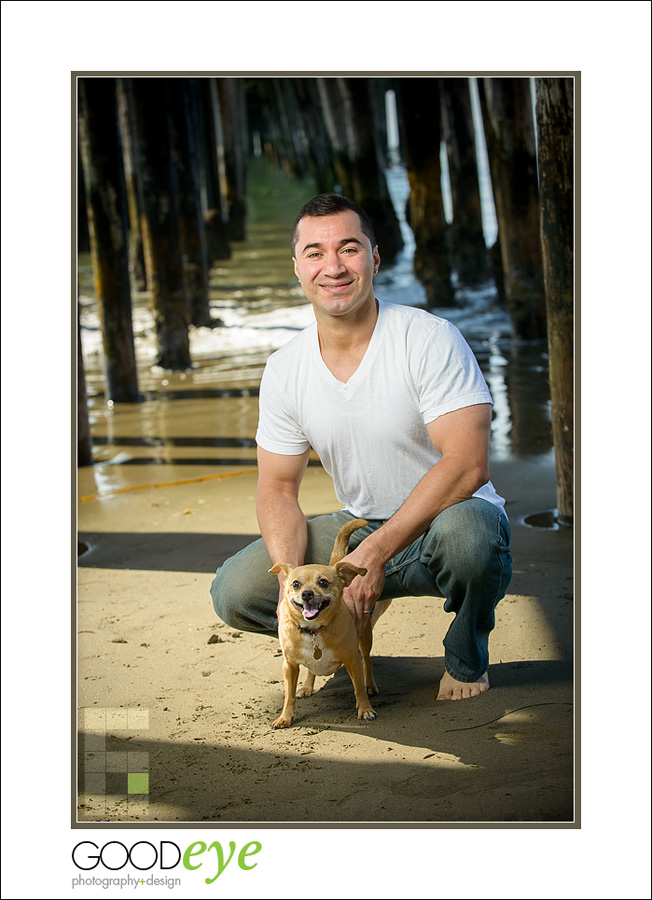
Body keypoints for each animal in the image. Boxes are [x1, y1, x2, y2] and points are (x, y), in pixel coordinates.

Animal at [268, 516, 376, 728]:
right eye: (296, 584)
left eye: (323, 582)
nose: (307, 593)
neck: (314, 631)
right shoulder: (290, 666)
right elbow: (288, 696)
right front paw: (285, 717)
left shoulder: (353, 660)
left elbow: (358, 688)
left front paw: (365, 709)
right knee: (312, 670)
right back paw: (307, 687)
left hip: (365, 639)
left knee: (367, 661)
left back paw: (370, 685)